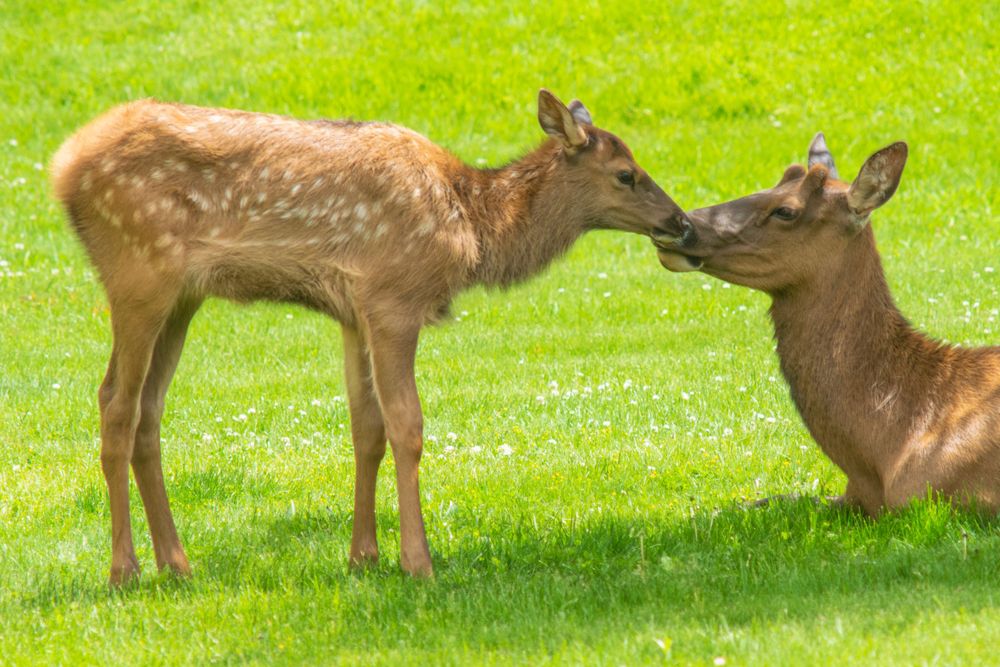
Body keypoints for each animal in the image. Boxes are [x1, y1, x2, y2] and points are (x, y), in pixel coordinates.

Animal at [51, 89, 693, 584]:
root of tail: (63, 166)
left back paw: (178, 564)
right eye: (627, 174)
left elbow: (367, 429)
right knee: (116, 402)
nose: (682, 223)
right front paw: (418, 562)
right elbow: (407, 427)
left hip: (183, 296)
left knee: (149, 410)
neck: (473, 225)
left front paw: (363, 556)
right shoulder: (393, 299)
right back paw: (125, 570)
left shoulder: (354, 311)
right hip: (139, 272)